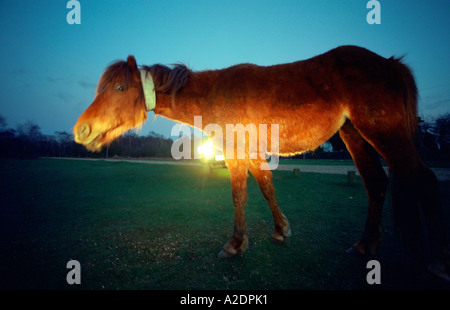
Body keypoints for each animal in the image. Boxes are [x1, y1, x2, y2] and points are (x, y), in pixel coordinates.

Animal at [73, 44, 446, 274]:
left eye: (119, 88)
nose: (82, 129)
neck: (215, 93)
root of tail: (389, 63)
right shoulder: (251, 152)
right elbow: (267, 188)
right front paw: (281, 231)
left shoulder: (236, 152)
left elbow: (239, 194)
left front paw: (236, 244)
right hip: (355, 136)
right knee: (377, 184)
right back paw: (365, 245)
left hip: (385, 136)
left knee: (426, 183)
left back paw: (437, 262)